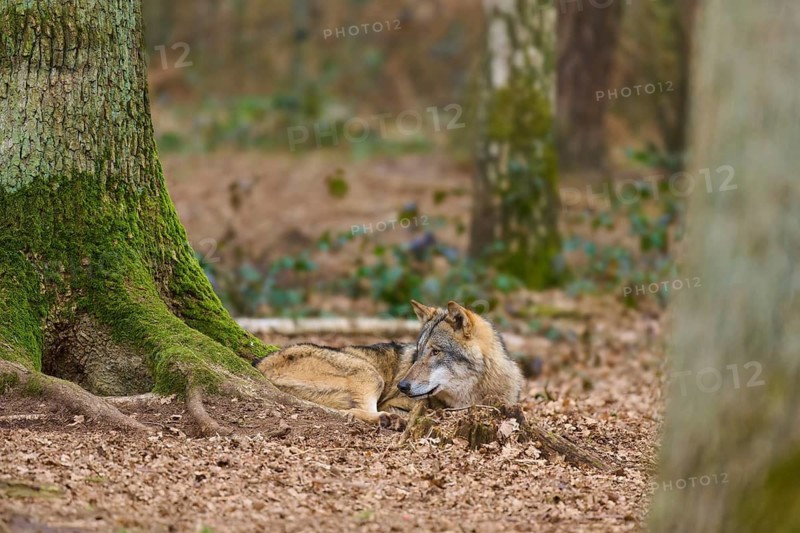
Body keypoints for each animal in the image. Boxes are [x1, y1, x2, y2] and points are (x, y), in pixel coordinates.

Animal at [253, 300, 523, 429]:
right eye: (419, 351)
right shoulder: (395, 402)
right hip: (371, 374)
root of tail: (260, 364)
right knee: (354, 412)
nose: (403, 385)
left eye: (435, 352)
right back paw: (389, 420)